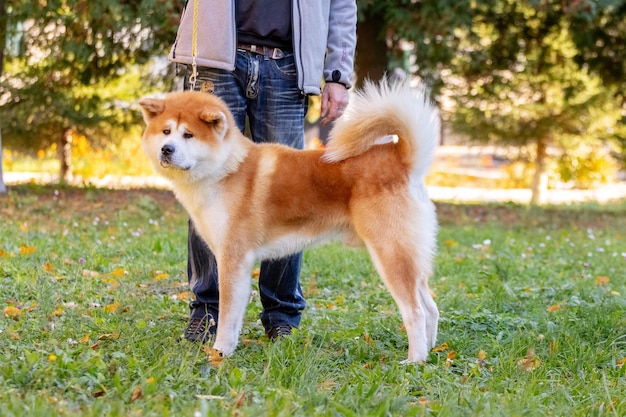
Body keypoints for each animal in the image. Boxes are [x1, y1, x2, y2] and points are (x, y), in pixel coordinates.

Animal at [138, 79, 438, 362]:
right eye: (166, 132)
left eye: (188, 135)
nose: (166, 149)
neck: (226, 168)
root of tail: (401, 160)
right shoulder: (235, 262)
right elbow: (233, 316)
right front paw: (228, 348)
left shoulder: (232, 259)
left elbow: (226, 315)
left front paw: (220, 352)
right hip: (409, 258)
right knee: (431, 308)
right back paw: (431, 351)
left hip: (390, 255)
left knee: (415, 311)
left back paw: (414, 360)